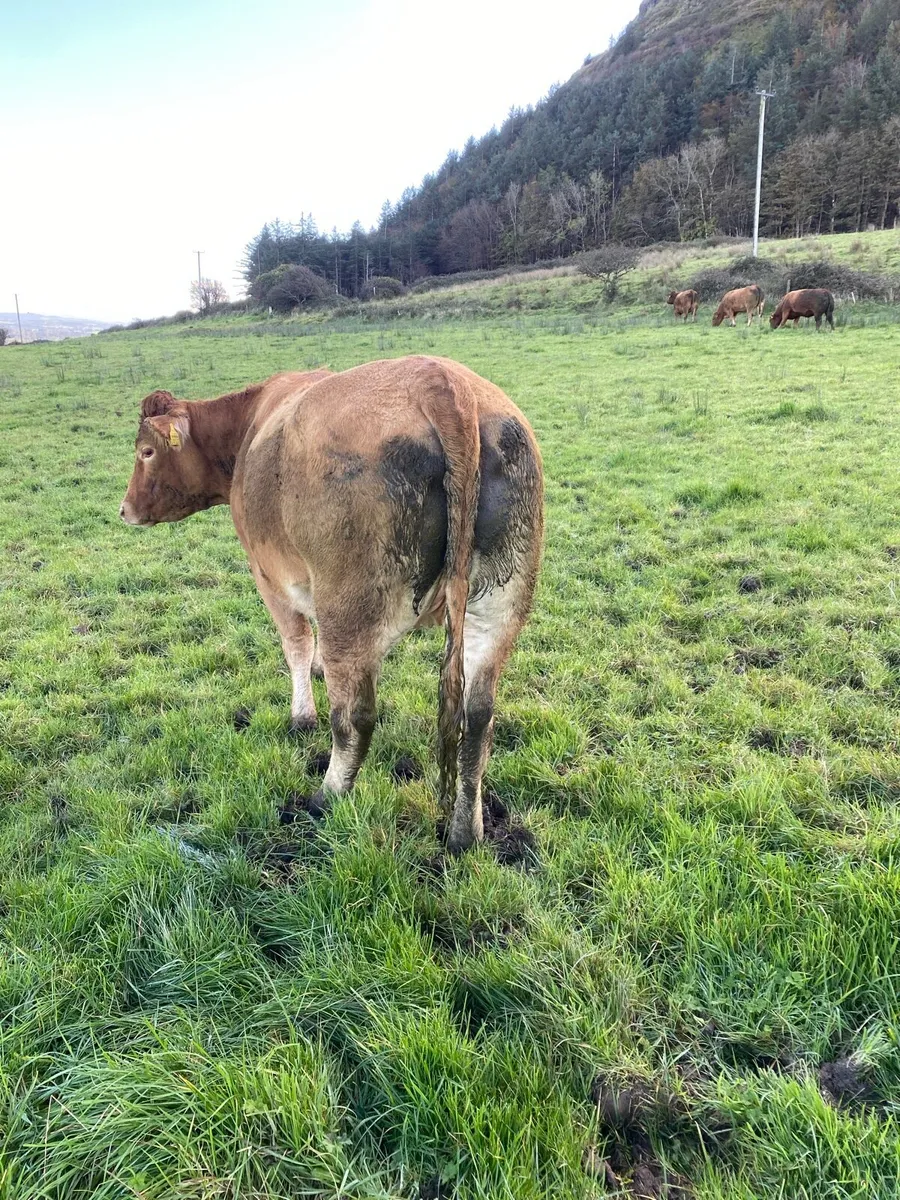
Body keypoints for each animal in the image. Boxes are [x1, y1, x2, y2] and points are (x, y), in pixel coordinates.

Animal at [120, 356, 544, 854]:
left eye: (147, 451)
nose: (124, 510)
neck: (249, 426)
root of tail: (440, 380)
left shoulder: (270, 576)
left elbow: (297, 645)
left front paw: (302, 715)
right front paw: (319, 672)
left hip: (350, 607)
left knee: (354, 718)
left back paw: (326, 797)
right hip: (499, 606)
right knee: (477, 720)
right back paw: (465, 831)